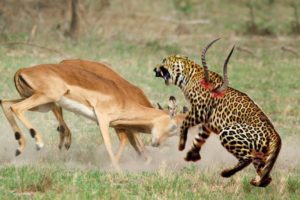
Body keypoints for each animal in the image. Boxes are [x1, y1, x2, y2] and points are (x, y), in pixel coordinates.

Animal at [154, 38, 282, 187]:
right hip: (259, 152)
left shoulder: (199, 111)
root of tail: (275, 134)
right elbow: (200, 137)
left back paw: (226, 173)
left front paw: (181, 145)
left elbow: (185, 123)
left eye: (164, 60)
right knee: (265, 174)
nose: (155, 69)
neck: (189, 75)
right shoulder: (206, 121)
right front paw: (192, 154)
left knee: (247, 158)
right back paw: (257, 180)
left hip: (228, 132)